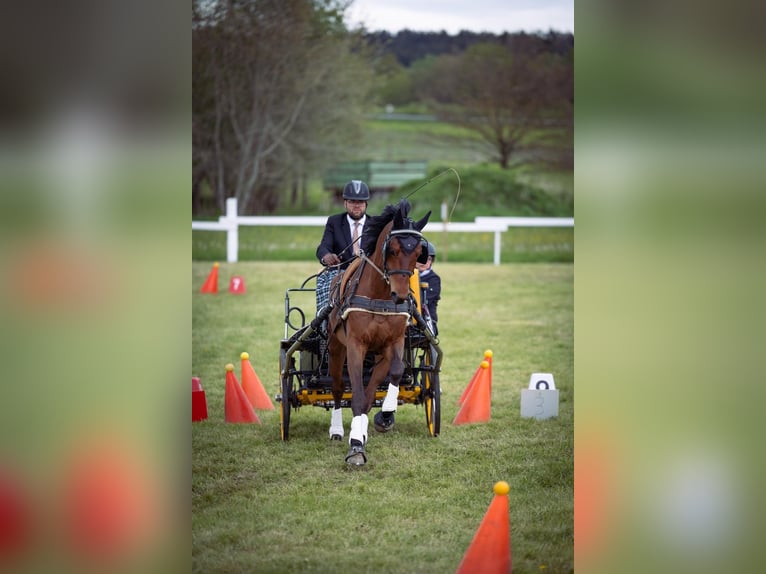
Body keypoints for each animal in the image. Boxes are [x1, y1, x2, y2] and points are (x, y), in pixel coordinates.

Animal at [326, 200, 428, 466]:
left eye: (418, 253)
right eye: (392, 249)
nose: (400, 295)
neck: (380, 297)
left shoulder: (393, 343)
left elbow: (394, 373)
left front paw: (385, 416)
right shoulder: (355, 345)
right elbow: (356, 395)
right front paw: (355, 447)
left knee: (370, 391)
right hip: (336, 347)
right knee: (339, 388)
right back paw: (338, 430)